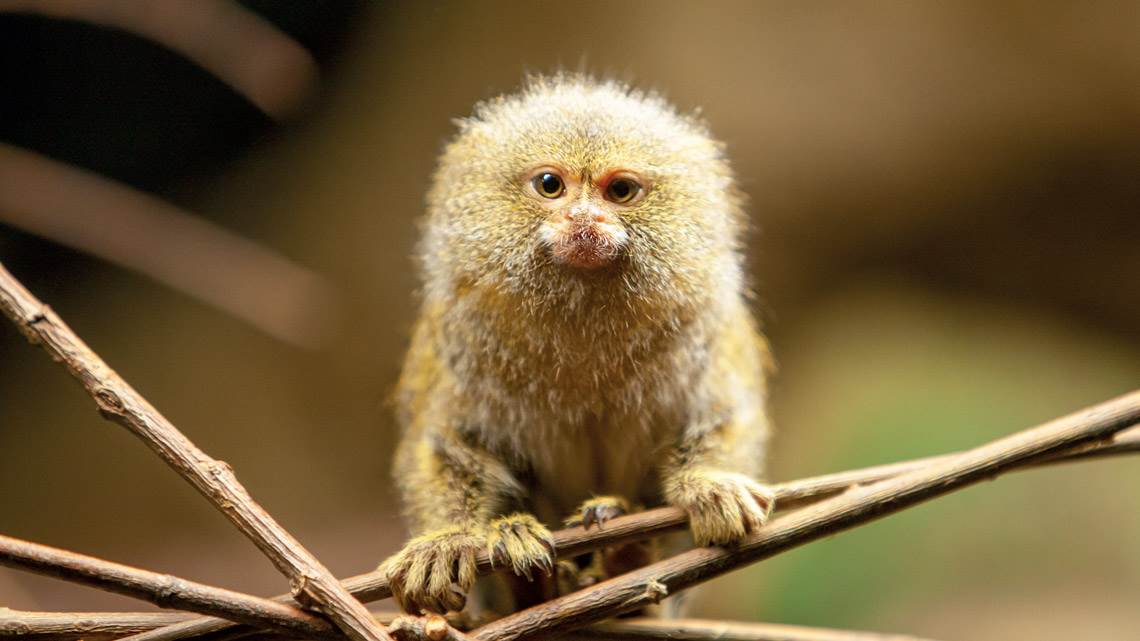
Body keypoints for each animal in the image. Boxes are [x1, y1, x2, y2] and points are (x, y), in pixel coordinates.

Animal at [383, 73, 775, 615]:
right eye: (551, 185)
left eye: (620, 190)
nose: (585, 219)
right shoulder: (460, 339)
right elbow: (445, 444)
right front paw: (446, 539)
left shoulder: (705, 331)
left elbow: (724, 417)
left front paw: (708, 484)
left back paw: (626, 556)